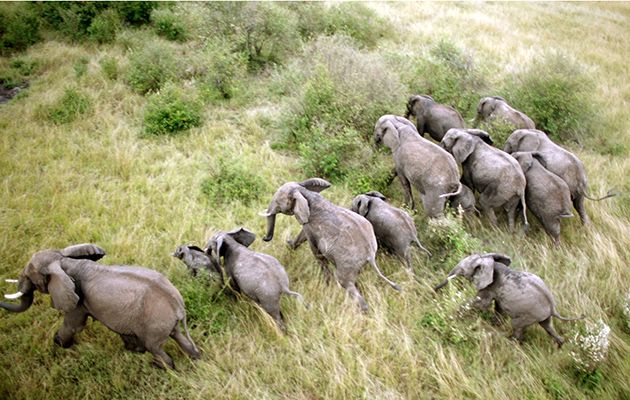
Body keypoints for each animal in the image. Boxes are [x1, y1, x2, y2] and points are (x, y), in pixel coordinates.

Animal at [0, 242, 201, 370]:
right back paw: (195, 359)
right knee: (179, 338)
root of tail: (178, 307)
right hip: (166, 323)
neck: (64, 260)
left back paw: (159, 367)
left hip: (155, 324)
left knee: (155, 347)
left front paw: (59, 345)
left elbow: (73, 325)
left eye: (29, 275)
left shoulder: (77, 300)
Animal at [260, 178, 400, 312]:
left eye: (277, 202)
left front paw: (326, 284)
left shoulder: (311, 227)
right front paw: (289, 245)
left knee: (346, 283)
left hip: (347, 263)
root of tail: (370, 255)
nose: (264, 238)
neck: (304, 192)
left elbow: (316, 251)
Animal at [434, 255, 584, 346]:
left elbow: (480, 304)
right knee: (547, 326)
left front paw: (454, 315)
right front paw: (494, 324)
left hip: (529, 314)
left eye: (464, 269)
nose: (434, 291)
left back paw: (510, 342)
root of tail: (553, 308)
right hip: (542, 315)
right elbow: (498, 307)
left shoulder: (491, 286)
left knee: (517, 325)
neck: (490, 260)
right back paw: (560, 345)